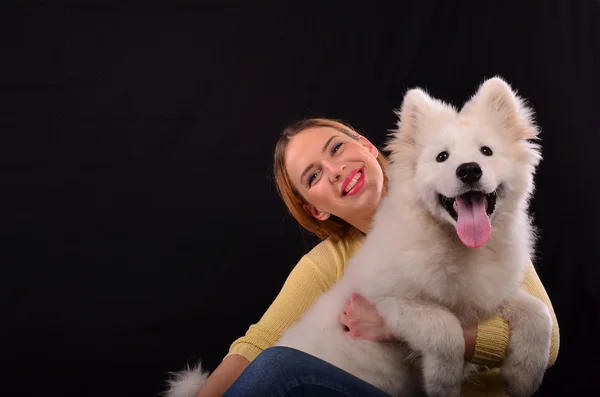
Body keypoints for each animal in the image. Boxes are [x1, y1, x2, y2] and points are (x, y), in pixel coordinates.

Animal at [164, 77, 552, 396]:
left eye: (486, 151)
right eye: (442, 157)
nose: (469, 170)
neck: (458, 246)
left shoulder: (489, 296)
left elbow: (540, 316)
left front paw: (522, 377)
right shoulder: (388, 302)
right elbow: (445, 329)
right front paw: (443, 382)